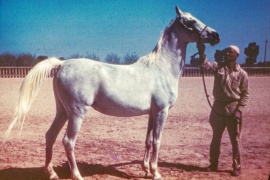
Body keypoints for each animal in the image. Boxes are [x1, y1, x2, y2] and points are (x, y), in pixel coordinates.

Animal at [4, 5, 219, 180]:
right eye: (190, 21)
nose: (216, 36)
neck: (162, 68)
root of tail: (62, 64)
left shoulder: (152, 113)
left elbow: (148, 141)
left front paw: (146, 169)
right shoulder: (162, 111)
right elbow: (157, 141)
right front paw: (156, 173)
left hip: (62, 111)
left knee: (50, 136)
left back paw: (52, 173)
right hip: (77, 113)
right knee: (68, 141)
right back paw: (76, 175)